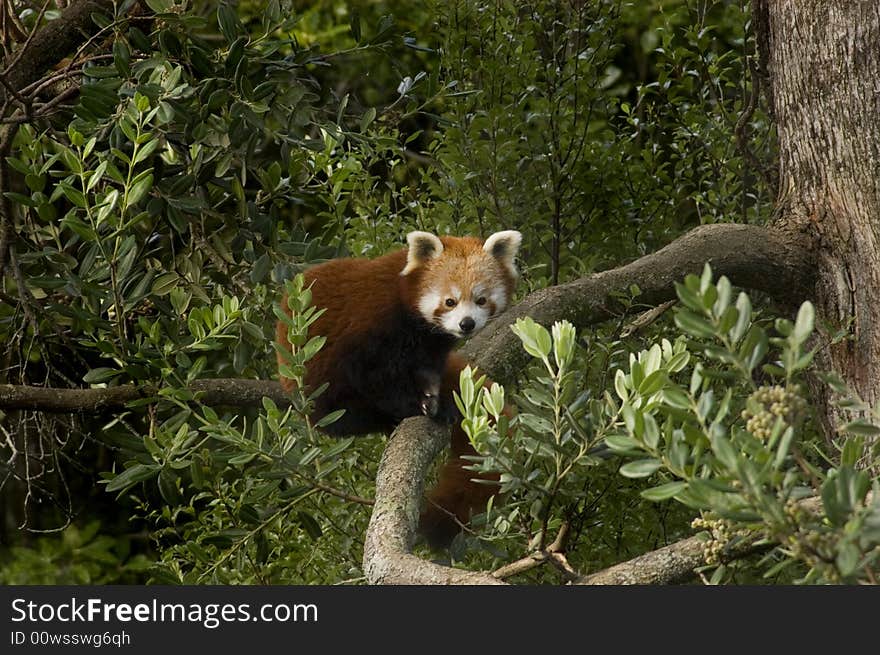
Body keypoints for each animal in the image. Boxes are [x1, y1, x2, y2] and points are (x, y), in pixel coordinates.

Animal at [276, 231, 524, 548]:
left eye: (481, 300)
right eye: (450, 301)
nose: (466, 324)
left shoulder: (430, 347)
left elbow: (428, 370)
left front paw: (434, 397)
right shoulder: (370, 326)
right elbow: (374, 379)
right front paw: (418, 406)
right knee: (342, 411)